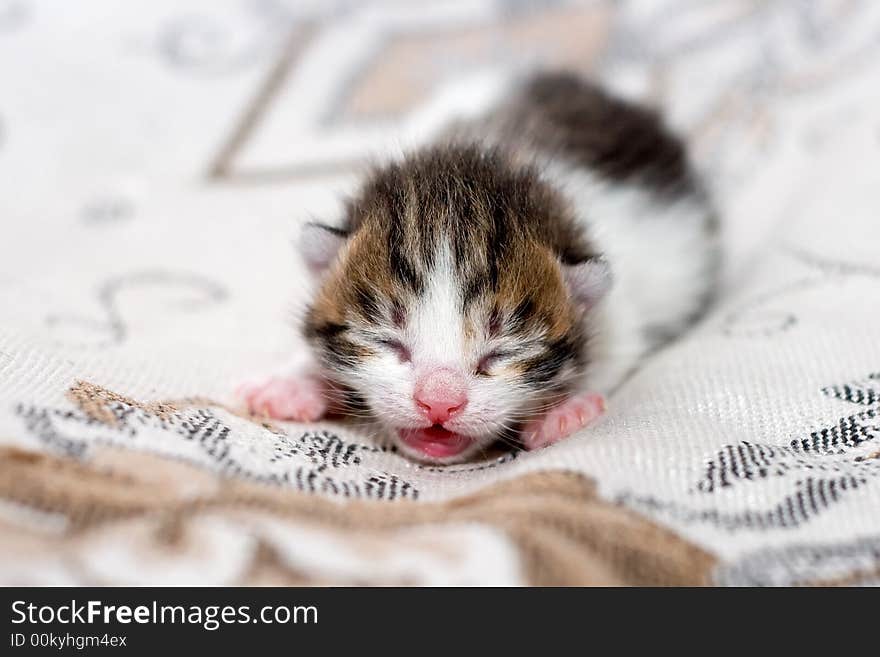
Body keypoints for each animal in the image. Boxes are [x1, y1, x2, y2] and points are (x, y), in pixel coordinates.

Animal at [237, 73, 720, 462]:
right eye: (388, 342)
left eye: (501, 353)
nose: (438, 403)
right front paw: (294, 382)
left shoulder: (621, 316)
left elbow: (612, 352)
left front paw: (565, 408)